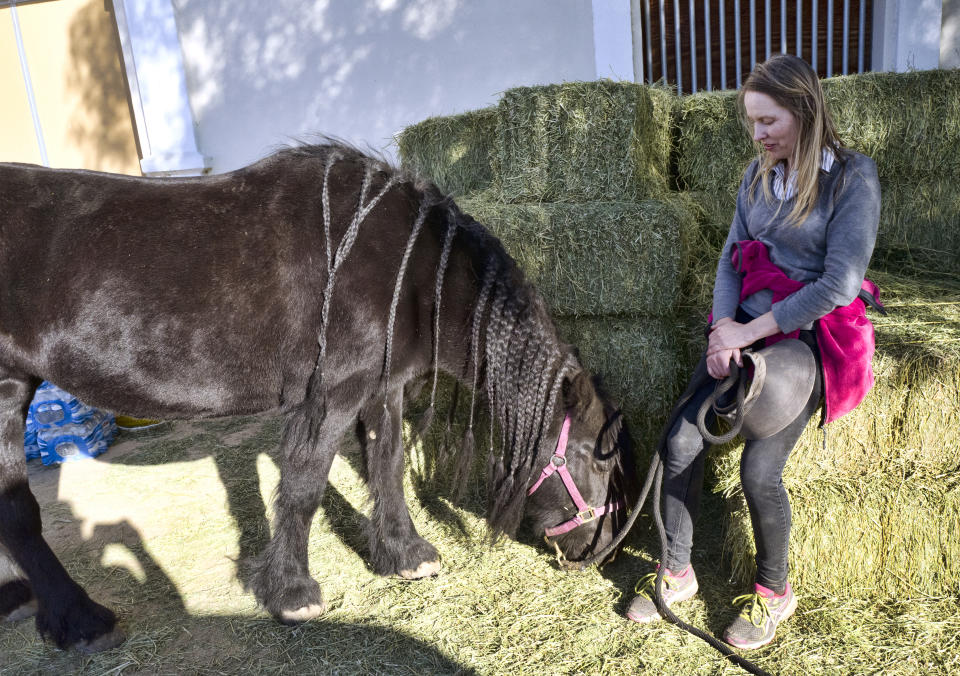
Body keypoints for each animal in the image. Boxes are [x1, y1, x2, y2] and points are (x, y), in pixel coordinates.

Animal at [0, 141, 636, 648]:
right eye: (595, 461)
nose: (603, 550)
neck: (405, 271)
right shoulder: (333, 394)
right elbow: (303, 489)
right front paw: (292, 593)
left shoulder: (383, 389)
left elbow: (387, 465)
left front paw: (406, 555)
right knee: (19, 514)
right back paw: (79, 620)